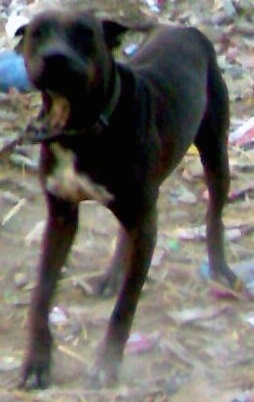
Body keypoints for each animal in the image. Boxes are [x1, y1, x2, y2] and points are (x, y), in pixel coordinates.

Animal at [15, 8, 244, 386]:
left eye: (85, 34)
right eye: (37, 33)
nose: (55, 57)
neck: (79, 129)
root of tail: (178, 27)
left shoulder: (144, 220)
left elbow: (125, 306)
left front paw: (107, 363)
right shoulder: (61, 217)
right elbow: (41, 294)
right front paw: (36, 360)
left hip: (215, 152)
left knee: (214, 214)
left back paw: (220, 267)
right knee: (127, 232)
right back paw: (110, 276)